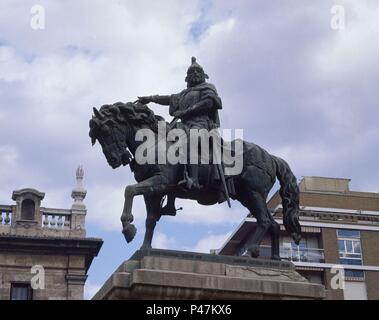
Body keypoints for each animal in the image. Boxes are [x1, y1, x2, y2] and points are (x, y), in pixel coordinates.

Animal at [89, 102, 302, 260]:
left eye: (106, 129)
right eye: (96, 136)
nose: (114, 160)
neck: (153, 143)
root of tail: (270, 157)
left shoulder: (160, 181)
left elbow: (129, 190)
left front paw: (128, 228)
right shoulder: (154, 191)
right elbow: (150, 220)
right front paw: (144, 247)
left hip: (253, 193)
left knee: (264, 221)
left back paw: (252, 251)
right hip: (247, 196)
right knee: (273, 224)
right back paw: (276, 259)